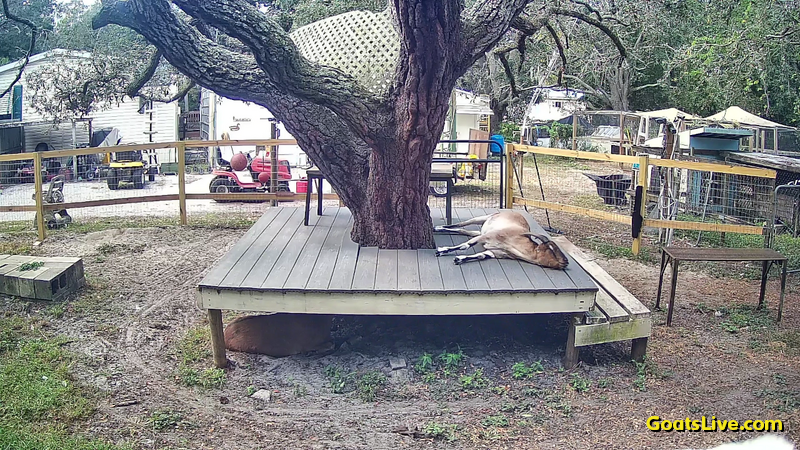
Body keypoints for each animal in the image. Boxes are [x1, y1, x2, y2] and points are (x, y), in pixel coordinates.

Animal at [433, 210, 569, 269]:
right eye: (551, 250)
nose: (566, 262)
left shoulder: (495, 252)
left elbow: (482, 255)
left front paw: (459, 259)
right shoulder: (488, 236)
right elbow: (466, 245)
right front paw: (441, 251)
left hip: (480, 230)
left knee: (463, 230)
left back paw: (438, 228)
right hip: (483, 219)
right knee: (462, 224)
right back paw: (438, 227)